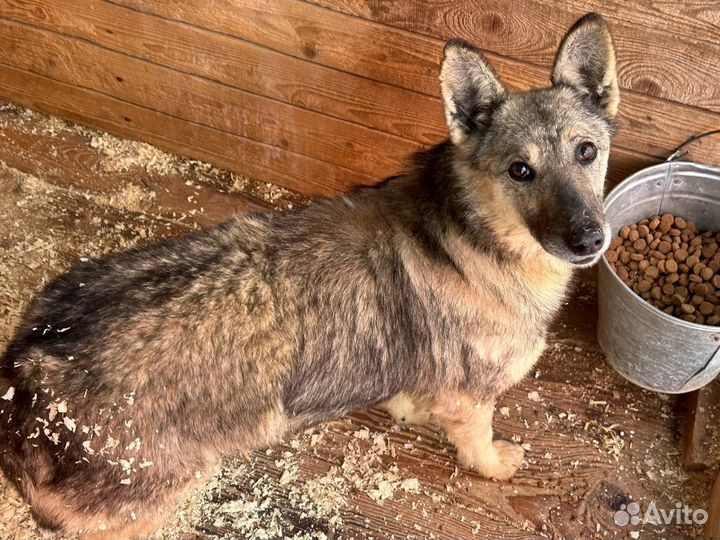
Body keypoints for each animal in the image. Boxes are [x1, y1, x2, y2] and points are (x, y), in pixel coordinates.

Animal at [0, 11, 620, 536]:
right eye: (520, 170)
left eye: (587, 152)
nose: (591, 240)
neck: (475, 235)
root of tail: (27, 369)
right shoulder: (473, 399)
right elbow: (479, 447)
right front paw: (496, 465)